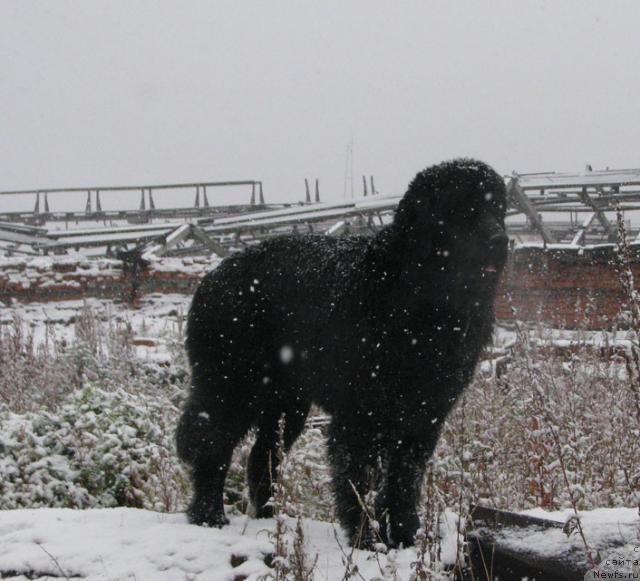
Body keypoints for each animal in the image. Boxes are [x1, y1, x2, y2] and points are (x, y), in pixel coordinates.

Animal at [175, 160, 504, 548]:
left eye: (498, 208)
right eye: (463, 208)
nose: (501, 240)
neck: (418, 296)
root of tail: (211, 277)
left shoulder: (424, 414)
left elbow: (404, 479)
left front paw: (404, 535)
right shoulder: (360, 414)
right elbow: (358, 478)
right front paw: (366, 538)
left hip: (286, 402)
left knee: (262, 455)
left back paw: (271, 518)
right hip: (231, 384)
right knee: (213, 444)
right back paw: (208, 515)